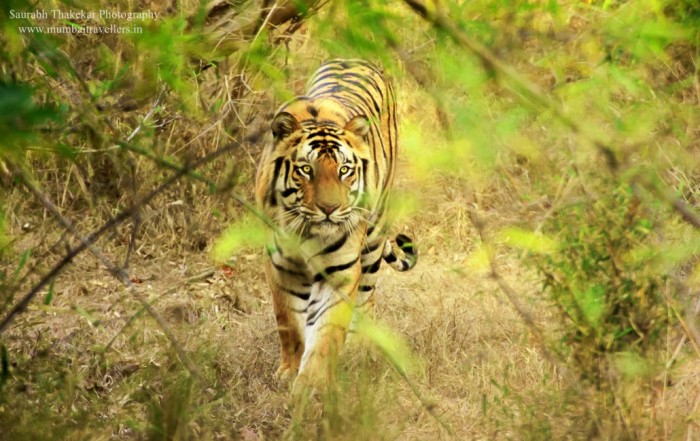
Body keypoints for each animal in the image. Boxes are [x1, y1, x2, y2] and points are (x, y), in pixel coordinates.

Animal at [256, 58, 416, 392]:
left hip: (373, 238)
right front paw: (289, 372)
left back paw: (358, 349)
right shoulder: (280, 267)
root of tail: (355, 59)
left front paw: (312, 383)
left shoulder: (341, 272)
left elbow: (327, 330)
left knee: (367, 296)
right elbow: (288, 322)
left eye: (344, 170)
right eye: (306, 169)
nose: (330, 209)